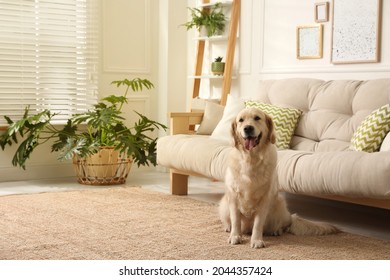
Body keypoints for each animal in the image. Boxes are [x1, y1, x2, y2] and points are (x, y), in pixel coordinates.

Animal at [219, 107, 338, 249]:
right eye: (241, 120)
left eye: (257, 118)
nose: (247, 128)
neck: (251, 160)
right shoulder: (233, 197)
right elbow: (236, 220)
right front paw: (235, 236)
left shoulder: (265, 199)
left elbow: (258, 224)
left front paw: (257, 240)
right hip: (224, 204)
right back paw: (228, 227)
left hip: (279, 204)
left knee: (285, 225)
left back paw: (276, 231)